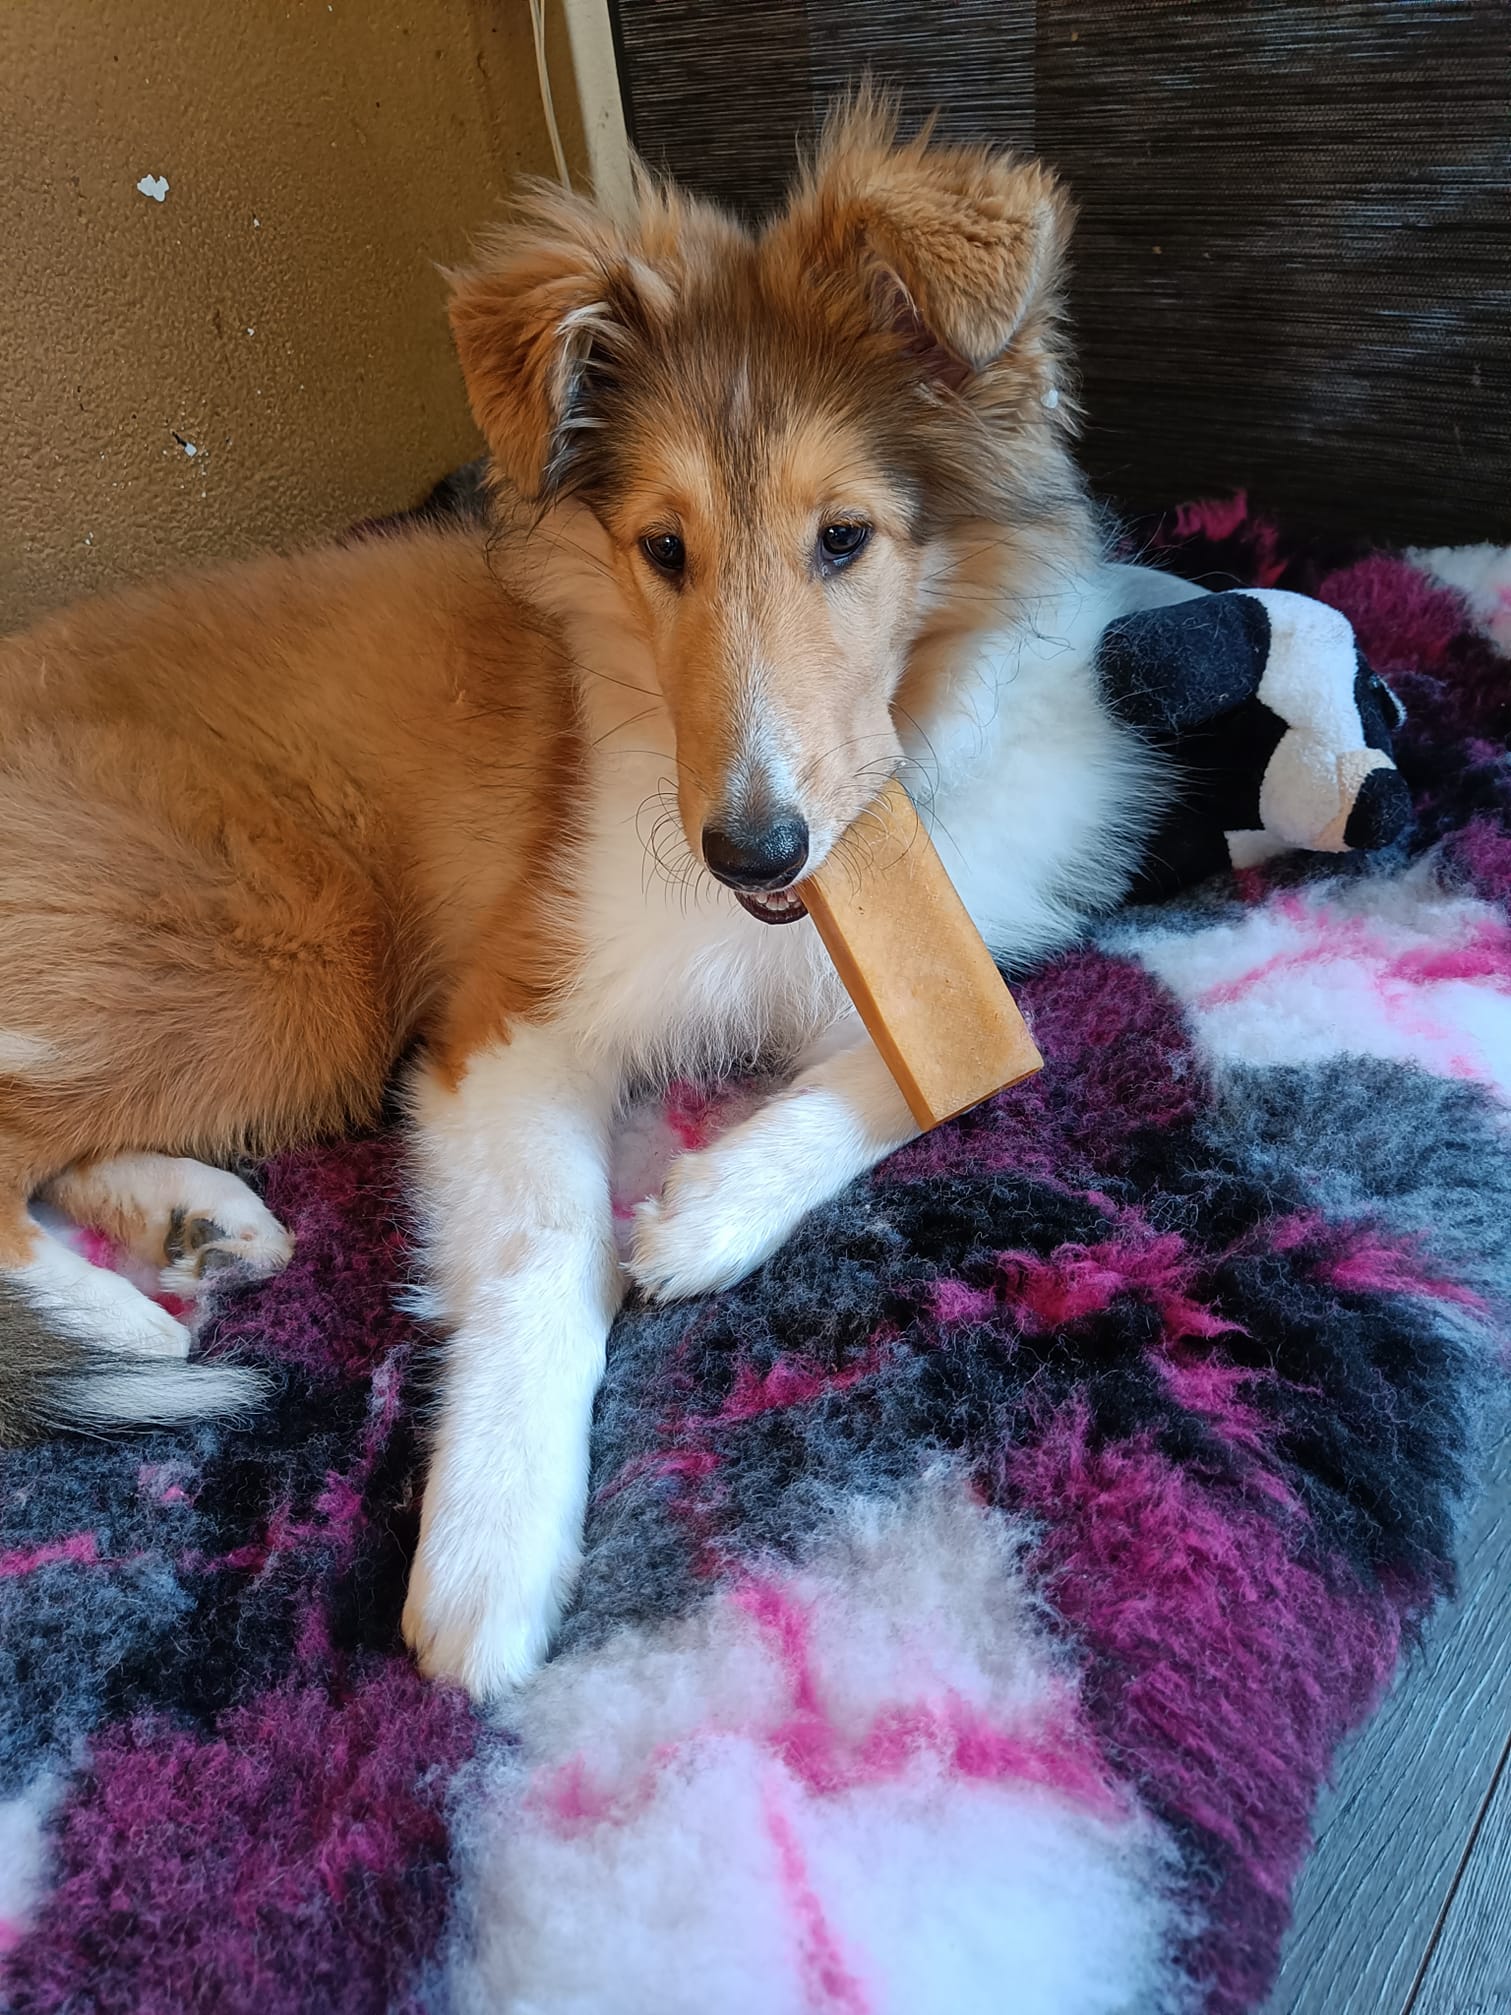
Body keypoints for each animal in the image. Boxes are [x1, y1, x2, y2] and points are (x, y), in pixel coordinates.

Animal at [0, 98, 1184, 1700]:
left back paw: (194, 1226)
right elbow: (539, 1252)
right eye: (661, 547)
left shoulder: (980, 948)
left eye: (844, 537)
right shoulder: (505, 1023)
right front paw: (491, 1555)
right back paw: (117, 1317)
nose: (753, 851)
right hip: (283, 955)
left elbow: (932, 1067)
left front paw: (709, 1208)